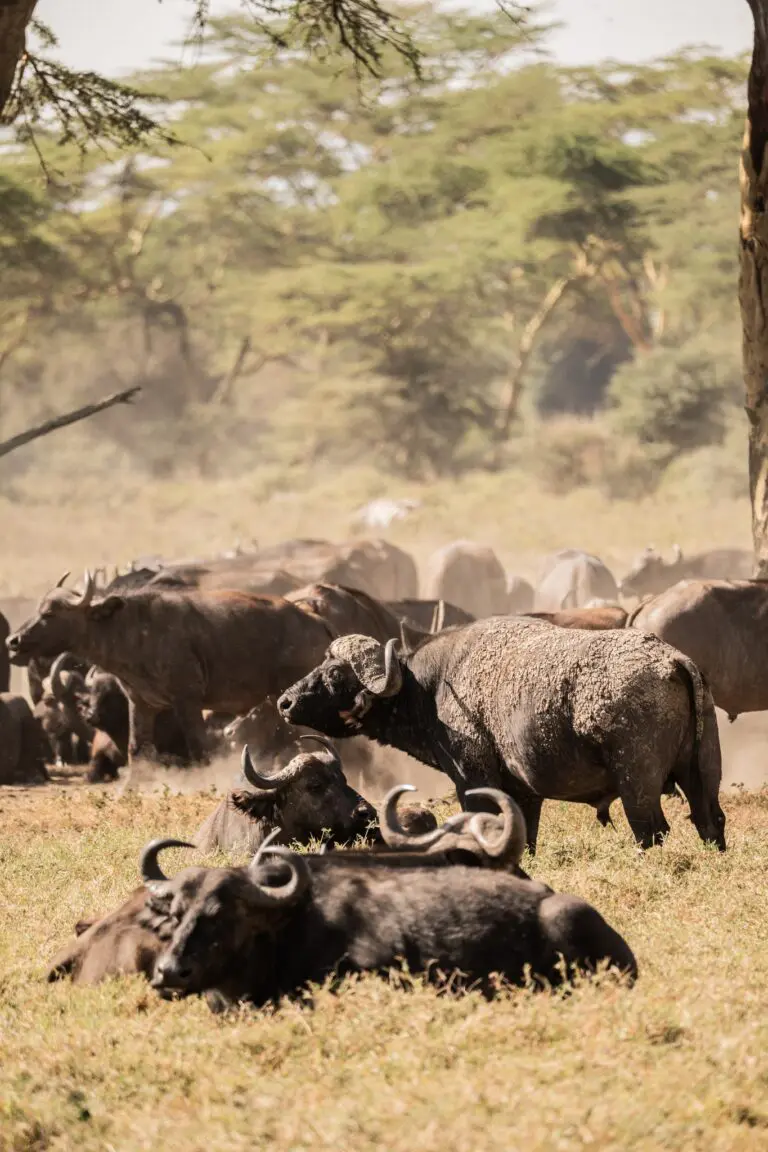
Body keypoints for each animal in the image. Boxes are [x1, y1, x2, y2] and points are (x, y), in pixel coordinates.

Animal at [277, 621, 726, 853]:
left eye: (336, 674)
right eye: (323, 663)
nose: (285, 702)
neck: (433, 685)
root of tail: (672, 660)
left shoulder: (473, 782)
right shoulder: (524, 794)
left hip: (637, 786)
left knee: (651, 831)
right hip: (702, 776)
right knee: (710, 821)